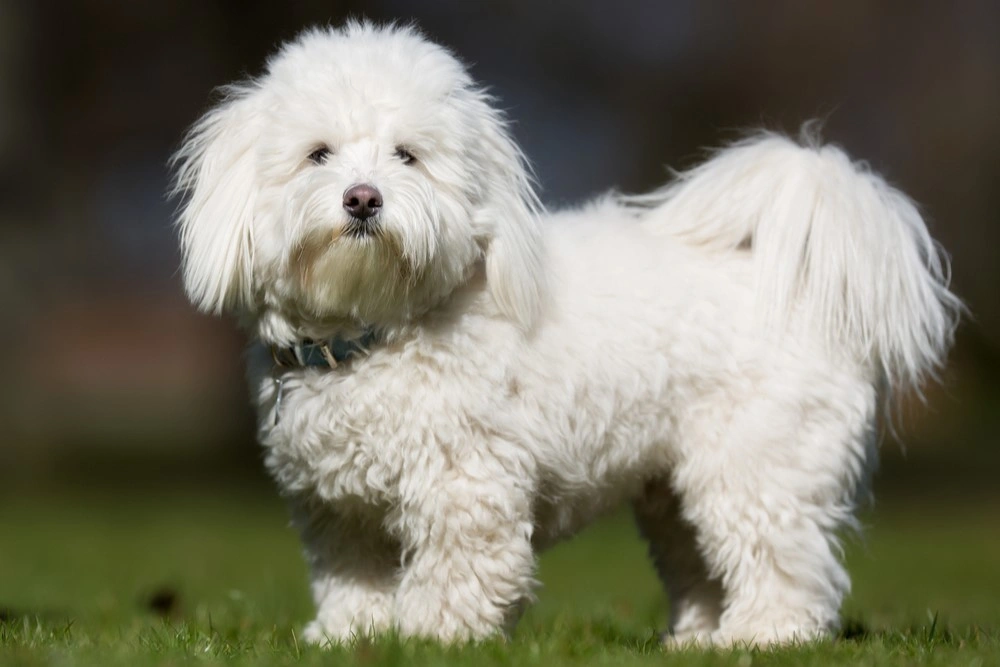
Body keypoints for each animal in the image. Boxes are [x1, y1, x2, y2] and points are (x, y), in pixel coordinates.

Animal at [172, 20, 960, 648]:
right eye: (318, 153)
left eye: (407, 155)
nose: (362, 199)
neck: (377, 331)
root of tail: (798, 283)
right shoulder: (340, 510)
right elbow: (353, 579)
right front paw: (351, 637)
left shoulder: (465, 486)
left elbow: (460, 570)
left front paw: (432, 636)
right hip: (673, 489)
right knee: (702, 562)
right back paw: (698, 641)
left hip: (757, 464)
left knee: (785, 561)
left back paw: (765, 636)